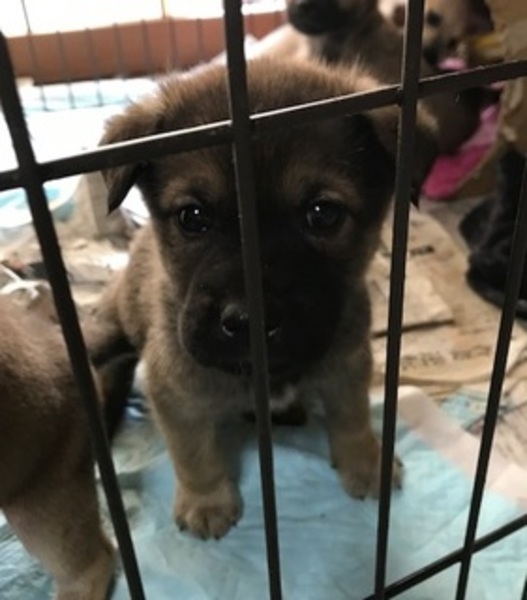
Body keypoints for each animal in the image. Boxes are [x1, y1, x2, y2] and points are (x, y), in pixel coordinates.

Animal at [88, 57, 437, 540]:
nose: (249, 321)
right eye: (192, 216)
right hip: (107, 330)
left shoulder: (348, 360)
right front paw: (207, 502)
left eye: (323, 214)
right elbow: (194, 453)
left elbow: (351, 415)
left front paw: (366, 461)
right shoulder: (174, 390)